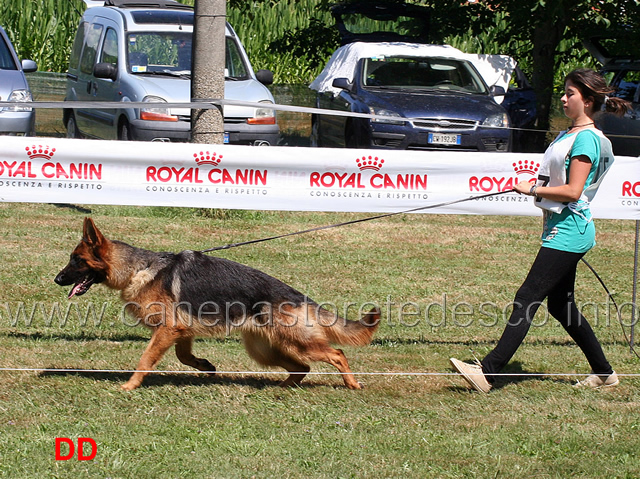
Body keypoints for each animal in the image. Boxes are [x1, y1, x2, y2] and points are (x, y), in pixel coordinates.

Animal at [55, 219, 380, 392]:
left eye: (76, 260)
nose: (57, 279)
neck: (139, 269)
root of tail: (301, 297)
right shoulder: (180, 332)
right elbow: (184, 356)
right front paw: (206, 367)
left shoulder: (168, 329)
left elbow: (145, 359)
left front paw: (130, 386)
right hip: (267, 350)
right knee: (302, 368)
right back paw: (283, 387)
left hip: (297, 342)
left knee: (336, 354)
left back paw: (352, 384)